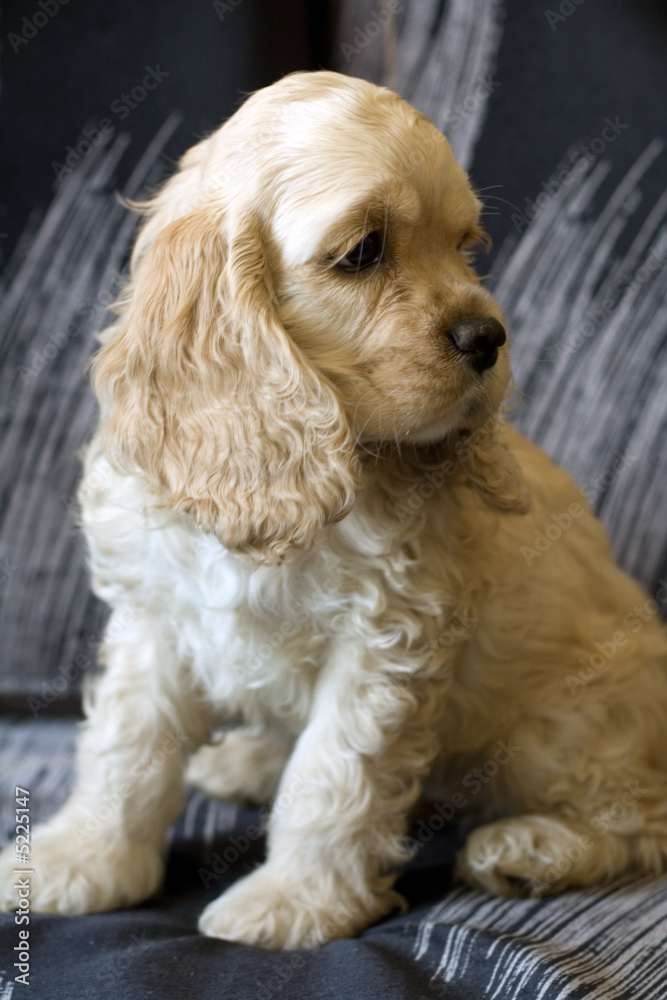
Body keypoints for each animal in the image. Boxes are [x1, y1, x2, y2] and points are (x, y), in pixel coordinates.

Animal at [1, 72, 667, 952]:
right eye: (362, 252)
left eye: (466, 246)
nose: (487, 336)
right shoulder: (155, 616)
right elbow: (124, 747)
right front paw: (80, 861)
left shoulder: (386, 643)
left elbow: (330, 775)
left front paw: (292, 902)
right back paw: (245, 761)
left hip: (557, 730)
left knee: (639, 816)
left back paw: (532, 849)